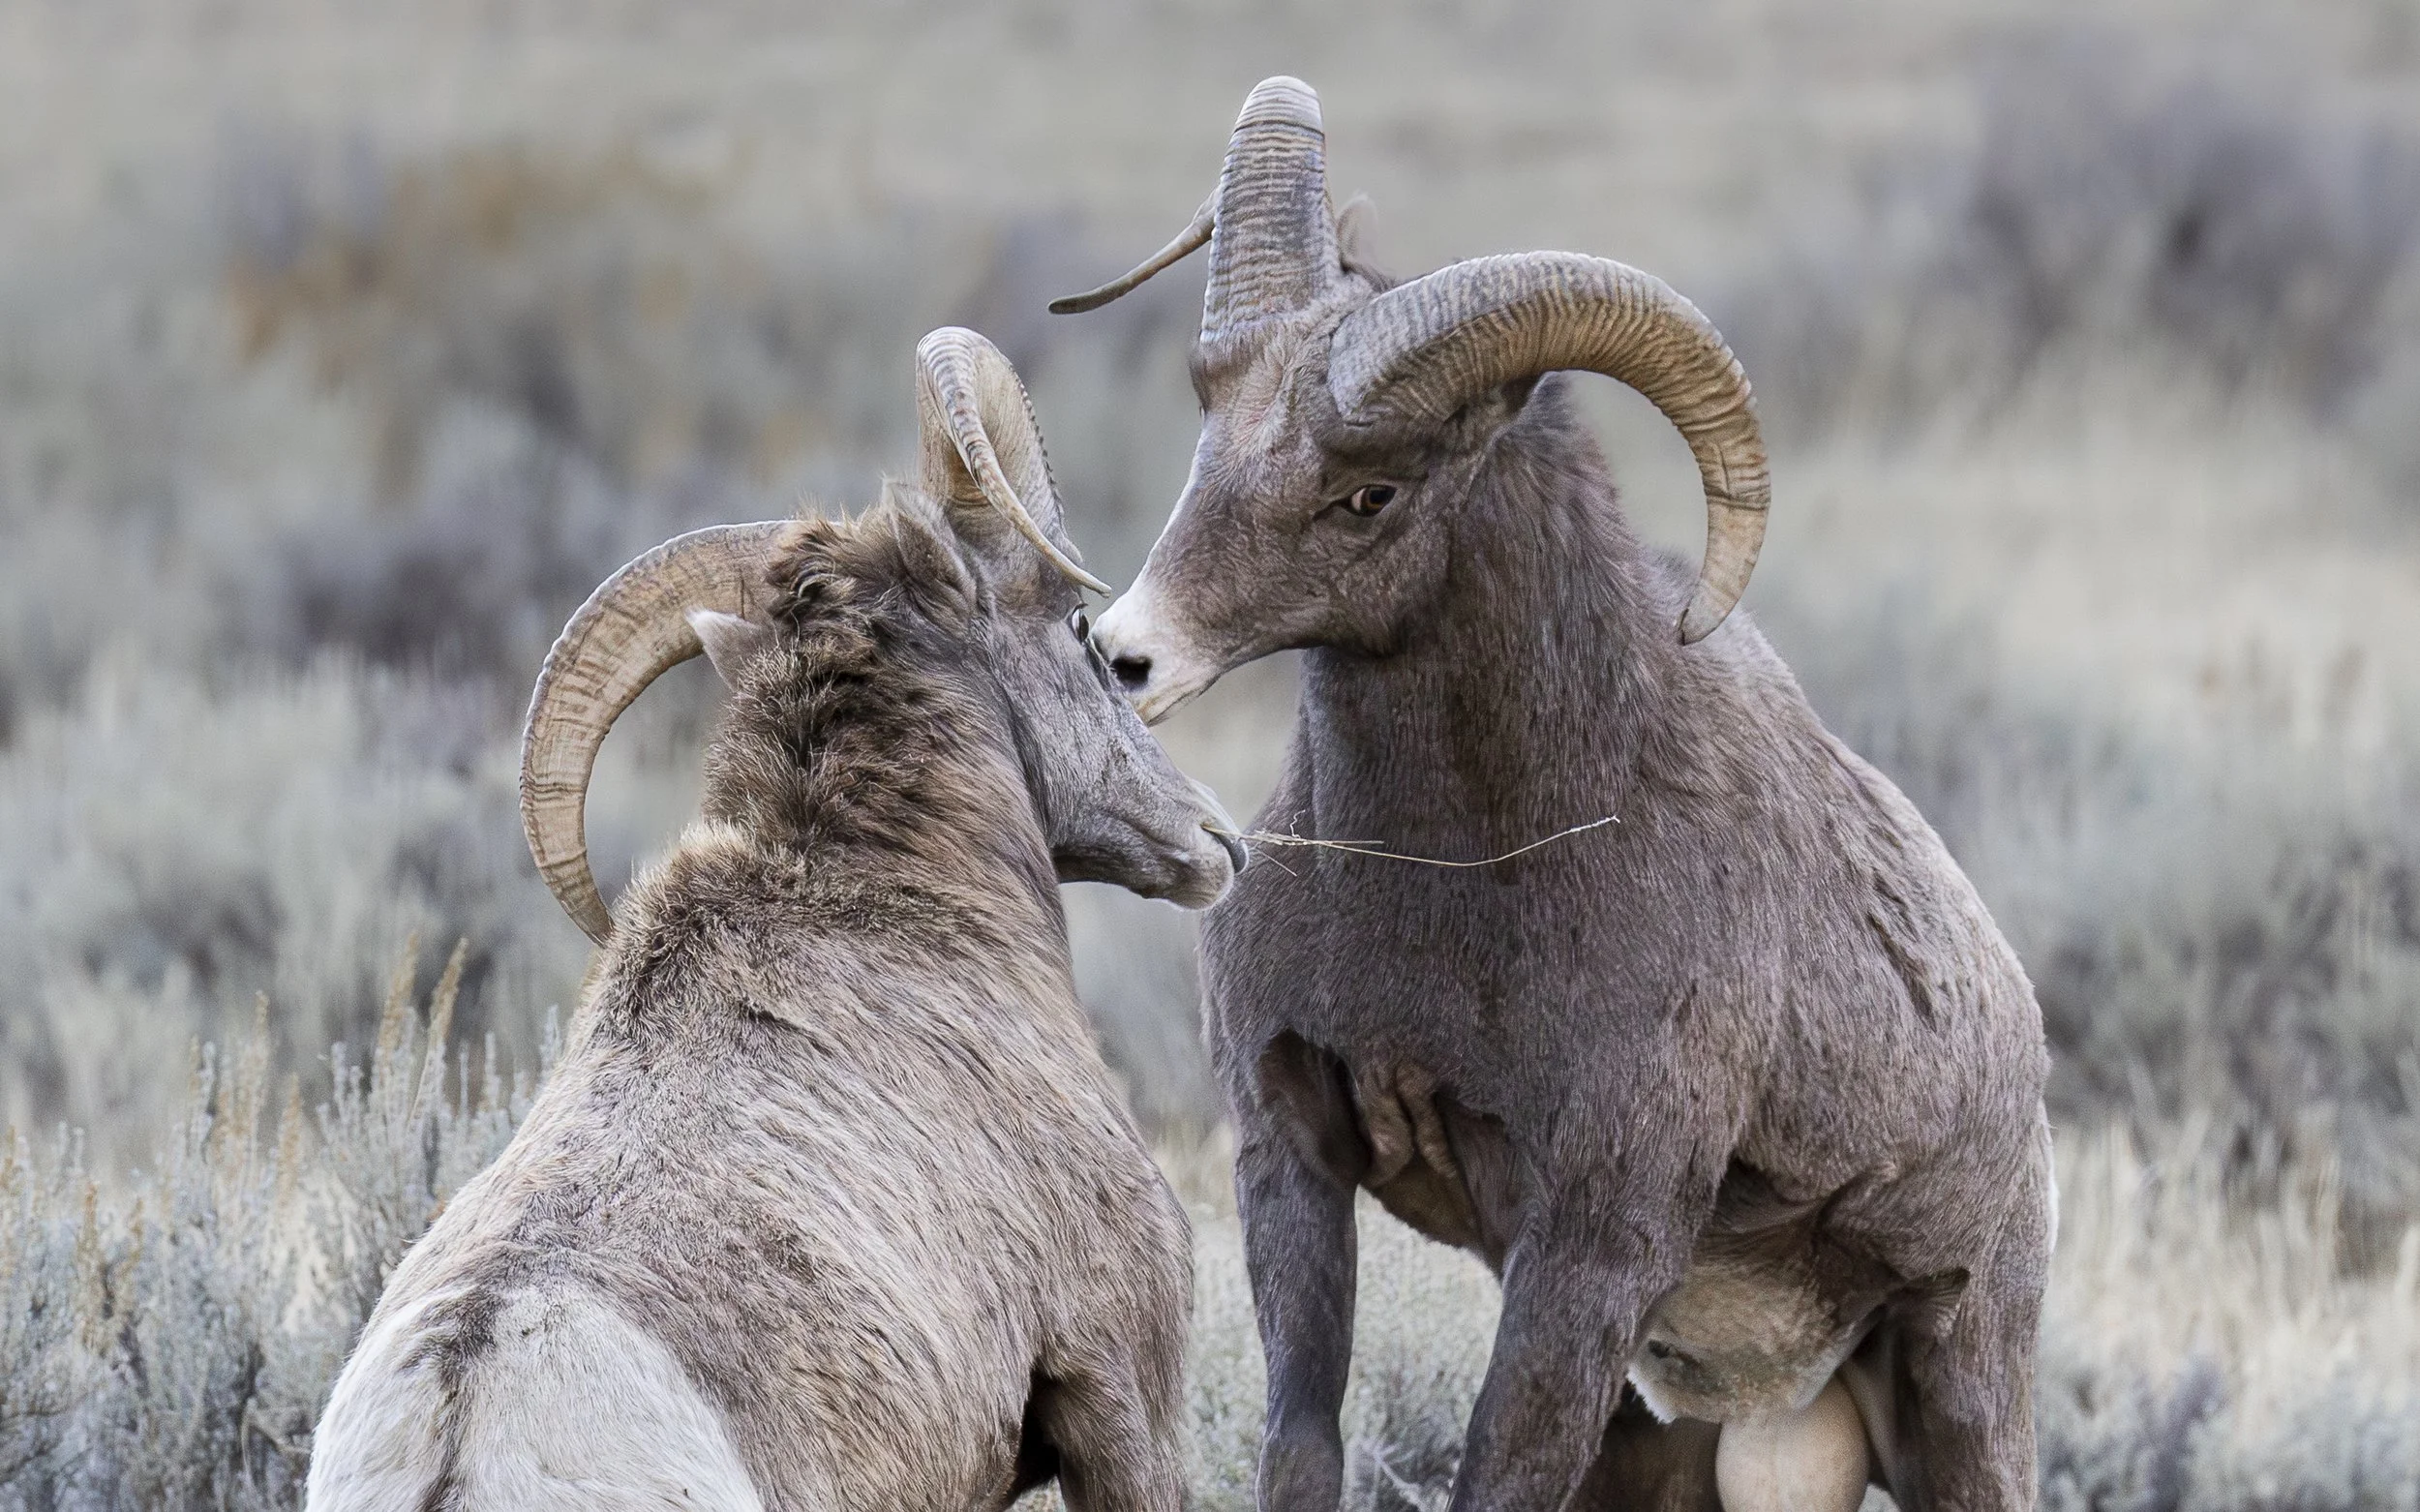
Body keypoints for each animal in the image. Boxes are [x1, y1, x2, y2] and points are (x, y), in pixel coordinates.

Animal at [1053, 78, 2054, 1512]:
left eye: (1371, 493)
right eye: (1211, 428)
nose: (1124, 657)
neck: (1456, 885)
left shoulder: (1593, 1242)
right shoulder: (1289, 1159)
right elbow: (1301, 1445)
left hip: (1963, 1379)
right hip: (1668, 1434)